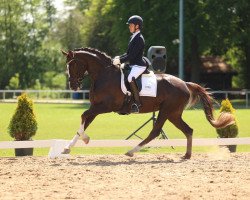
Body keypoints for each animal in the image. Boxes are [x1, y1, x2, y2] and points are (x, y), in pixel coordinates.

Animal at [61, 47, 233, 159]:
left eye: (73, 64)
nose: (73, 86)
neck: (104, 74)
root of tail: (184, 83)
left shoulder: (105, 107)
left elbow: (83, 116)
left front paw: (85, 139)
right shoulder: (95, 107)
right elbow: (84, 121)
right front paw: (67, 148)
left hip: (166, 111)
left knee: (155, 132)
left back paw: (131, 151)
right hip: (174, 114)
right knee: (188, 130)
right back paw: (186, 155)